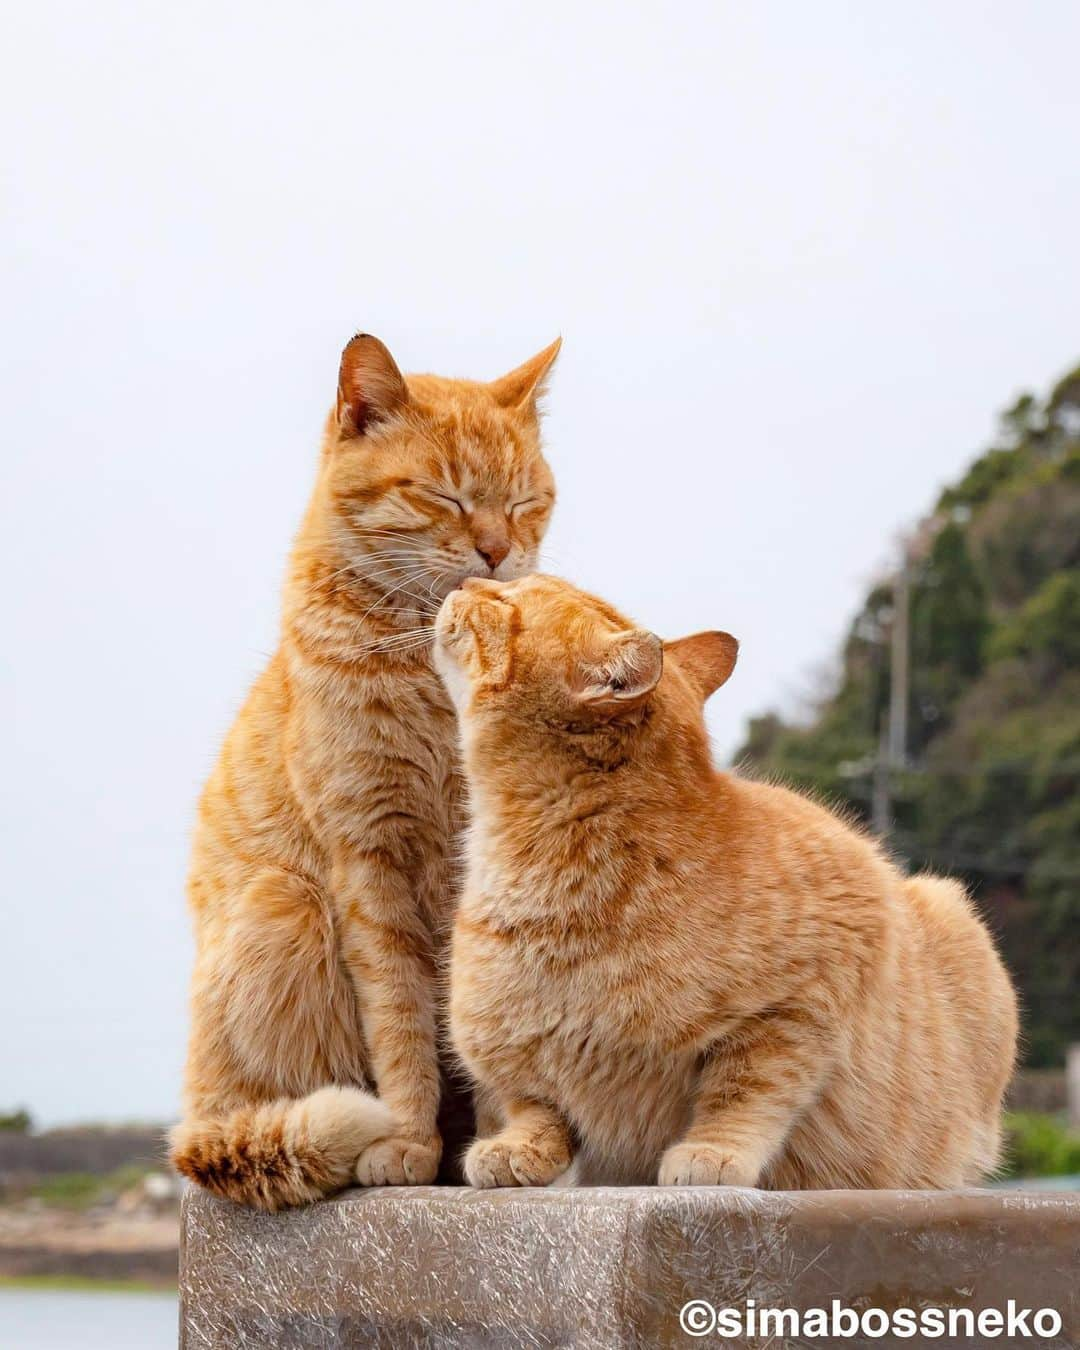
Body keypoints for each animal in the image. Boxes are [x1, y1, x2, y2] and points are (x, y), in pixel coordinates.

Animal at [170, 332, 561, 1209]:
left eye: (525, 502)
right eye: (444, 496)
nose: (498, 551)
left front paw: (513, 1139)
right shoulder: (368, 864)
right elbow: (402, 1024)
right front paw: (410, 1140)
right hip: (284, 903)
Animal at [434, 575, 1015, 1188]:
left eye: (507, 600)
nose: (467, 580)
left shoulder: (799, 1005)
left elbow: (746, 1094)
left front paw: (711, 1153)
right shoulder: (510, 1055)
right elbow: (535, 1104)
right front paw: (518, 1147)